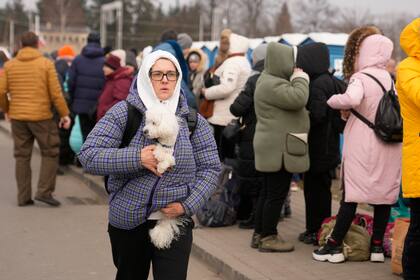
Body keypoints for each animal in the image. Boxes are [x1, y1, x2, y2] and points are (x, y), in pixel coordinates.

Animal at [143, 105, 185, 249]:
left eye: (154, 123)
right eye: (147, 122)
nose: (144, 131)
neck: (165, 145)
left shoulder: (172, 157)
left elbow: (167, 159)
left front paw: (161, 165)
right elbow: (159, 152)